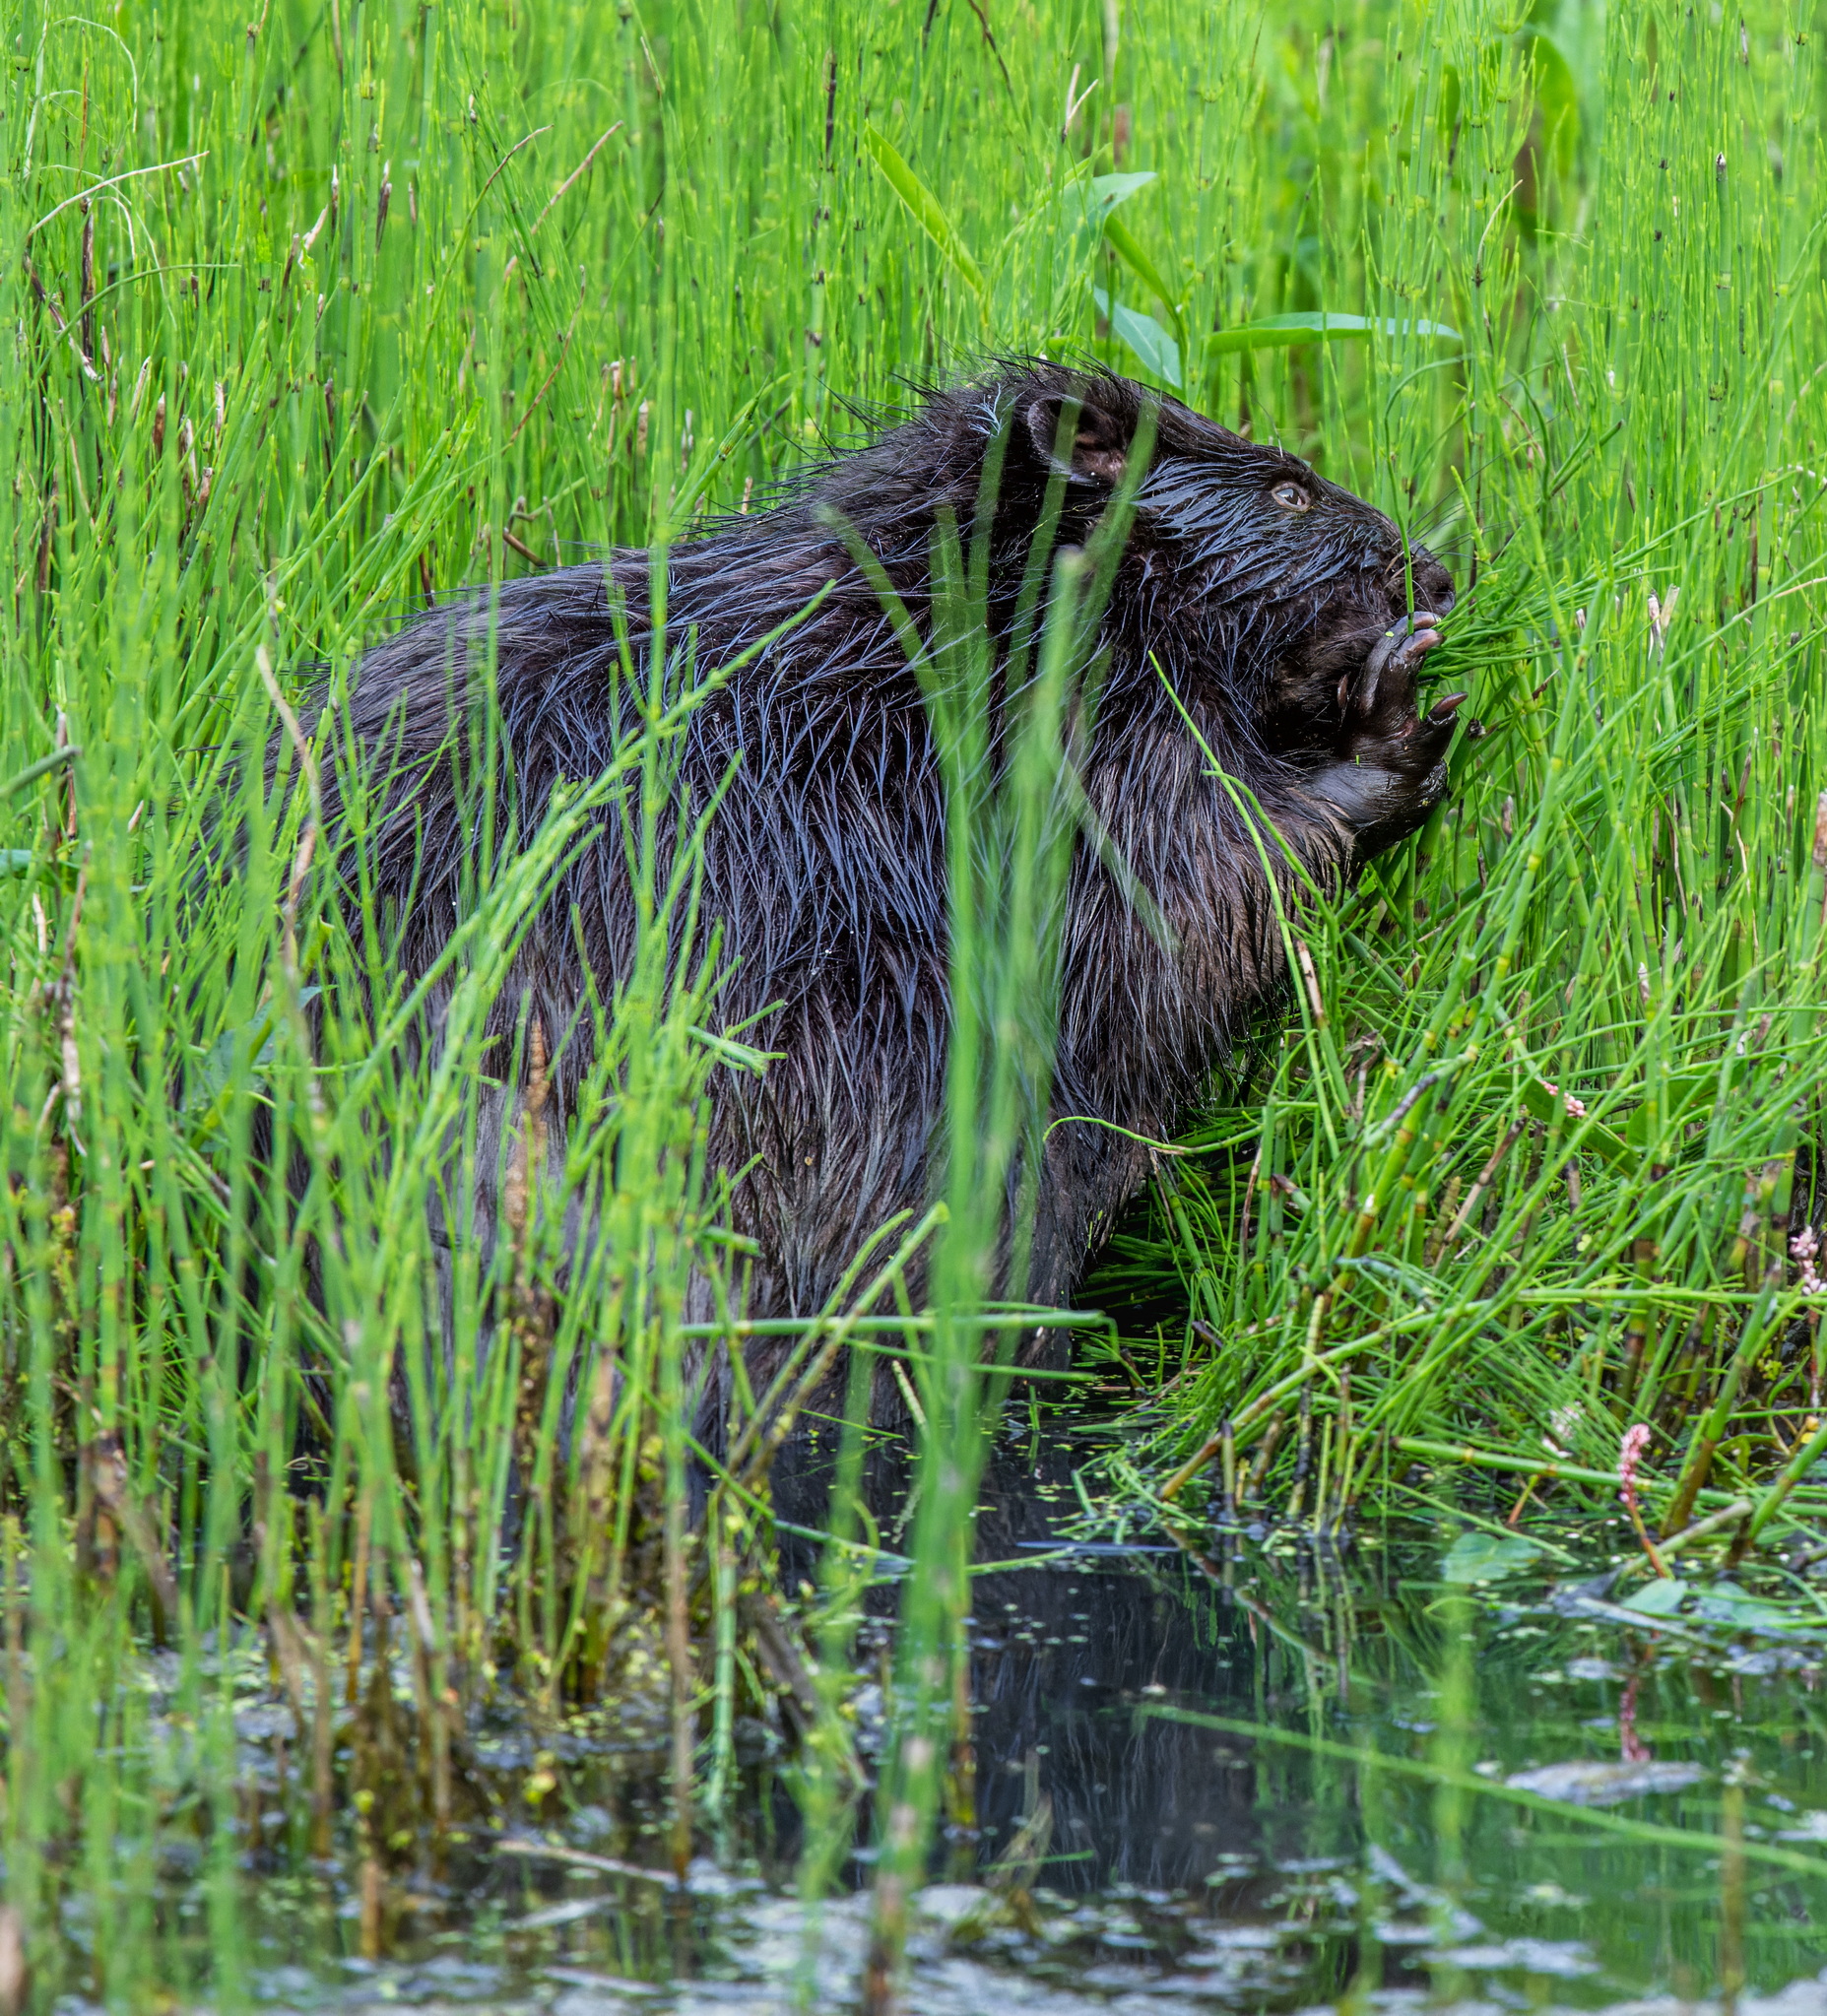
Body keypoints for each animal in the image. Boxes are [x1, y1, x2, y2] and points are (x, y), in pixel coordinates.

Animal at [310, 362, 1452, 1362]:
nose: (1437, 577)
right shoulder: (1070, 745)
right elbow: (1183, 908)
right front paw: (1399, 713)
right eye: (1288, 489)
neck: (953, 612)